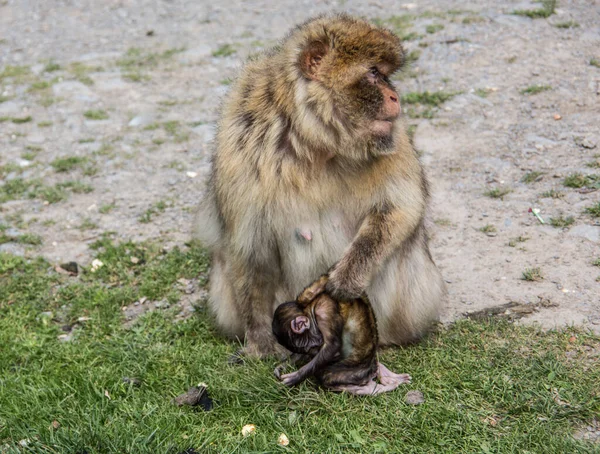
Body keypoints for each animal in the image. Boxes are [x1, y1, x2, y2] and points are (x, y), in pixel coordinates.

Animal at [197, 14, 446, 356]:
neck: (314, 142)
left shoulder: (394, 138)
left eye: (384, 74)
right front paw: (260, 342)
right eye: (373, 73)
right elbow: (249, 249)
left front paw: (346, 277)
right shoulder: (241, 143)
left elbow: (400, 207)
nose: (395, 97)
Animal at [274, 274, 410, 396]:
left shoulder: (324, 310)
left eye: (305, 345)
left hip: (353, 373)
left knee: (327, 375)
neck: (310, 306)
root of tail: (370, 369)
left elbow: (332, 347)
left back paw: (374, 387)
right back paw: (389, 377)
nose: (312, 349)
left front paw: (294, 377)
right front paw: (282, 366)